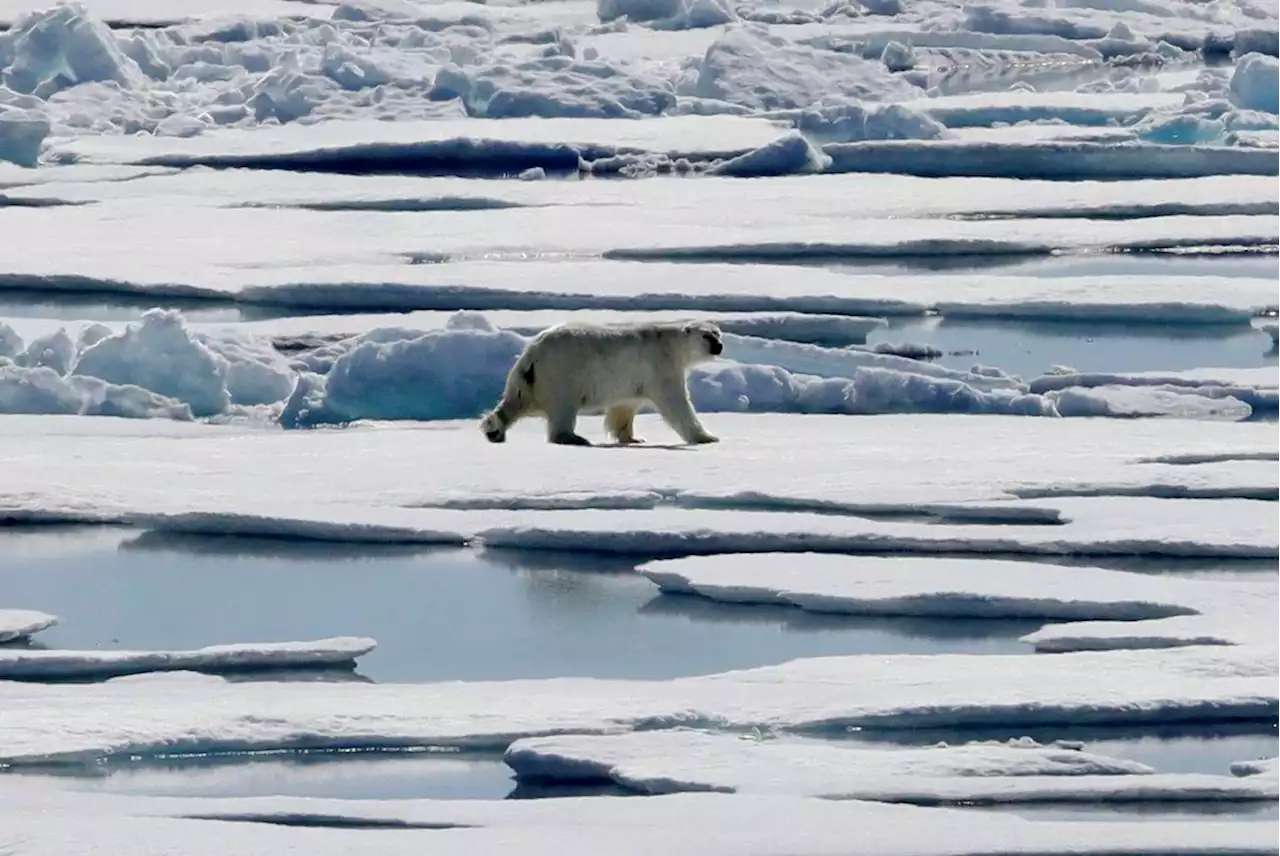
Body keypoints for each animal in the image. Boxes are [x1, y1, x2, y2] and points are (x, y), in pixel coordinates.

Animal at [481, 317, 727, 445]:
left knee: (516, 400)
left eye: (718, 333)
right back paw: (574, 437)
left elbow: (624, 407)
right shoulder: (661, 366)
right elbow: (676, 403)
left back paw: (494, 430)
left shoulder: (633, 379)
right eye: (707, 335)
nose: (719, 346)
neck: (671, 344)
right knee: (563, 408)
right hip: (562, 373)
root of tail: (533, 352)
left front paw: (632, 438)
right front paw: (707, 437)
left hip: (528, 379)